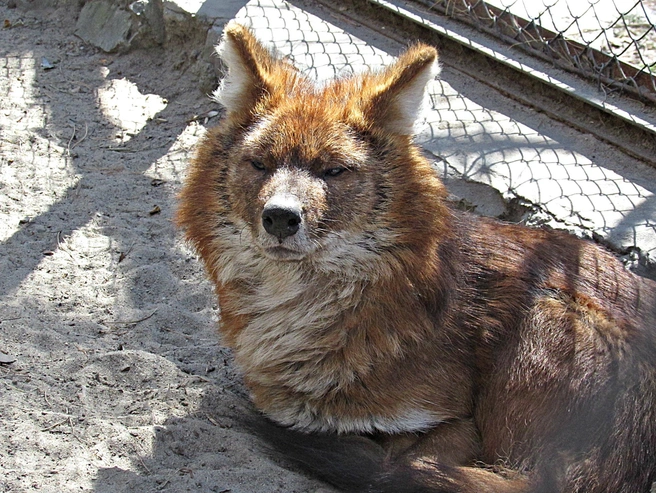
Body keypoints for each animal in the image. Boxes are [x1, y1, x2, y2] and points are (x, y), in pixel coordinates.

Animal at [177, 22, 656, 493]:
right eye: (259, 164)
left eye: (334, 170)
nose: (280, 217)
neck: (296, 317)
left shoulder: (458, 423)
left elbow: (408, 459)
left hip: (548, 310)